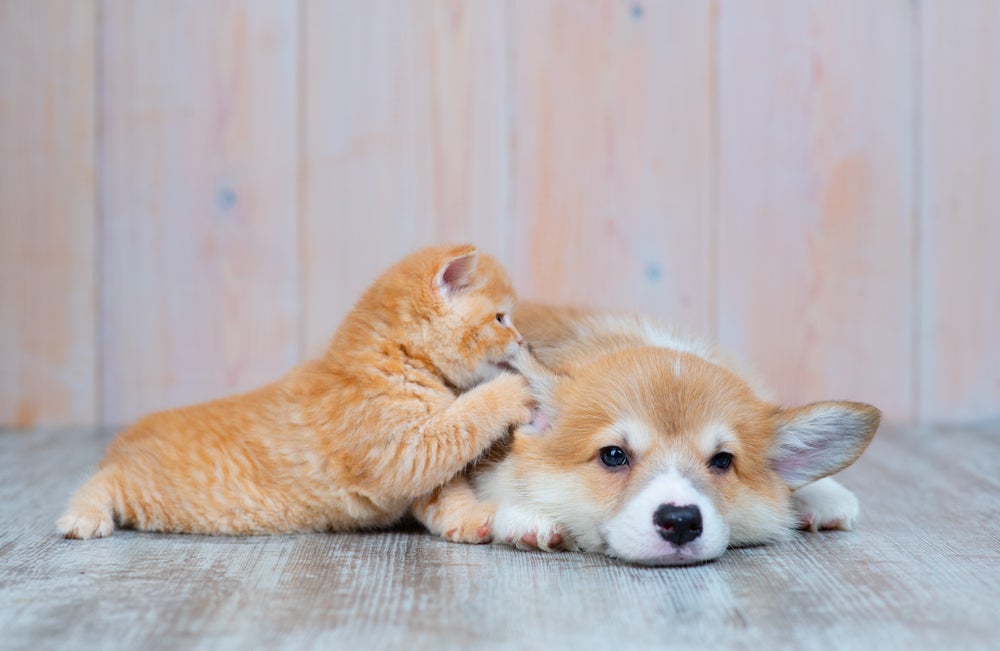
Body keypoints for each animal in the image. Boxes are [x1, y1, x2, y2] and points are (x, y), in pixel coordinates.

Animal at [58, 244, 536, 540]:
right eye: (500, 319)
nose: (523, 340)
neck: (396, 358)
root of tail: (128, 435)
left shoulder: (414, 475)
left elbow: (445, 492)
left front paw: (469, 519)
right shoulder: (401, 454)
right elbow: (466, 418)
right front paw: (512, 390)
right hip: (147, 491)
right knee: (100, 480)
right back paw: (82, 517)